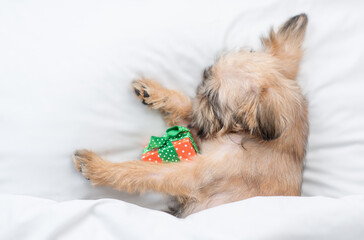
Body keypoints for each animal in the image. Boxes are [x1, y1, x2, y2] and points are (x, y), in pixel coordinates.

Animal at [72, 14, 308, 218]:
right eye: (206, 76)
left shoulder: (192, 174)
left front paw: (98, 167)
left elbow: (142, 170)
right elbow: (184, 104)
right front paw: (153, 91)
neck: (247, 136)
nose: (200, 88)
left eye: (213, 100)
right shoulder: (199, 131)